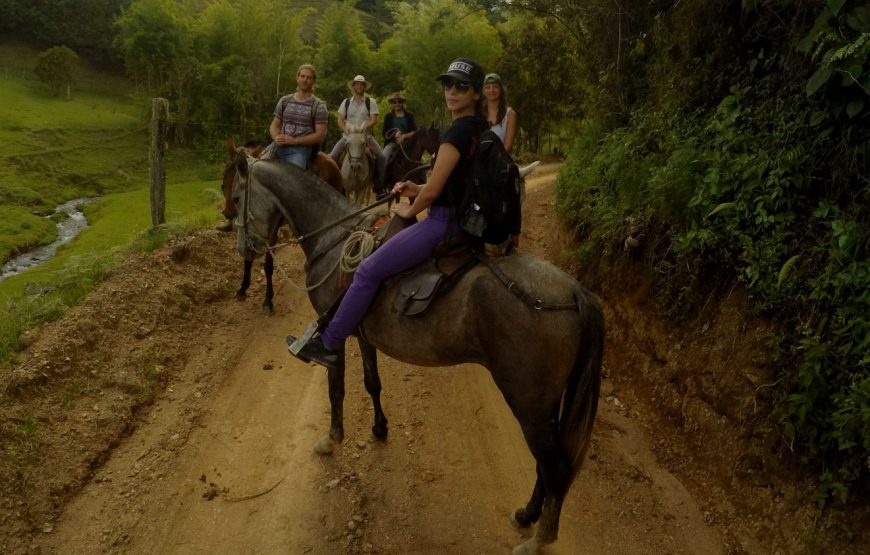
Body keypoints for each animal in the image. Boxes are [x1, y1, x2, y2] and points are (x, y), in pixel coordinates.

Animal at [223, 136, 346, 312]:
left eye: (234, 177)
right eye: (224, 174)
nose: (228, 213)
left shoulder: (271, 231)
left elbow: (268, 264)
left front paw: (268, 300)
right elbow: (248, 258)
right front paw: (242, 288)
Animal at [228, 153, 604, 555]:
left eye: (237, 197)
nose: (243, 249)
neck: (334, 236)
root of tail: (575, 293)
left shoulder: (336, 332)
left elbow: (336, 387)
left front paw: (332, 438)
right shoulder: (362, 330)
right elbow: (371, 382)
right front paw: (379, 428)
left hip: (527, 399)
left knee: (555, 466)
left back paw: (539, 538)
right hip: (545, 402)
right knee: (546, 462)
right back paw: (528, 515)